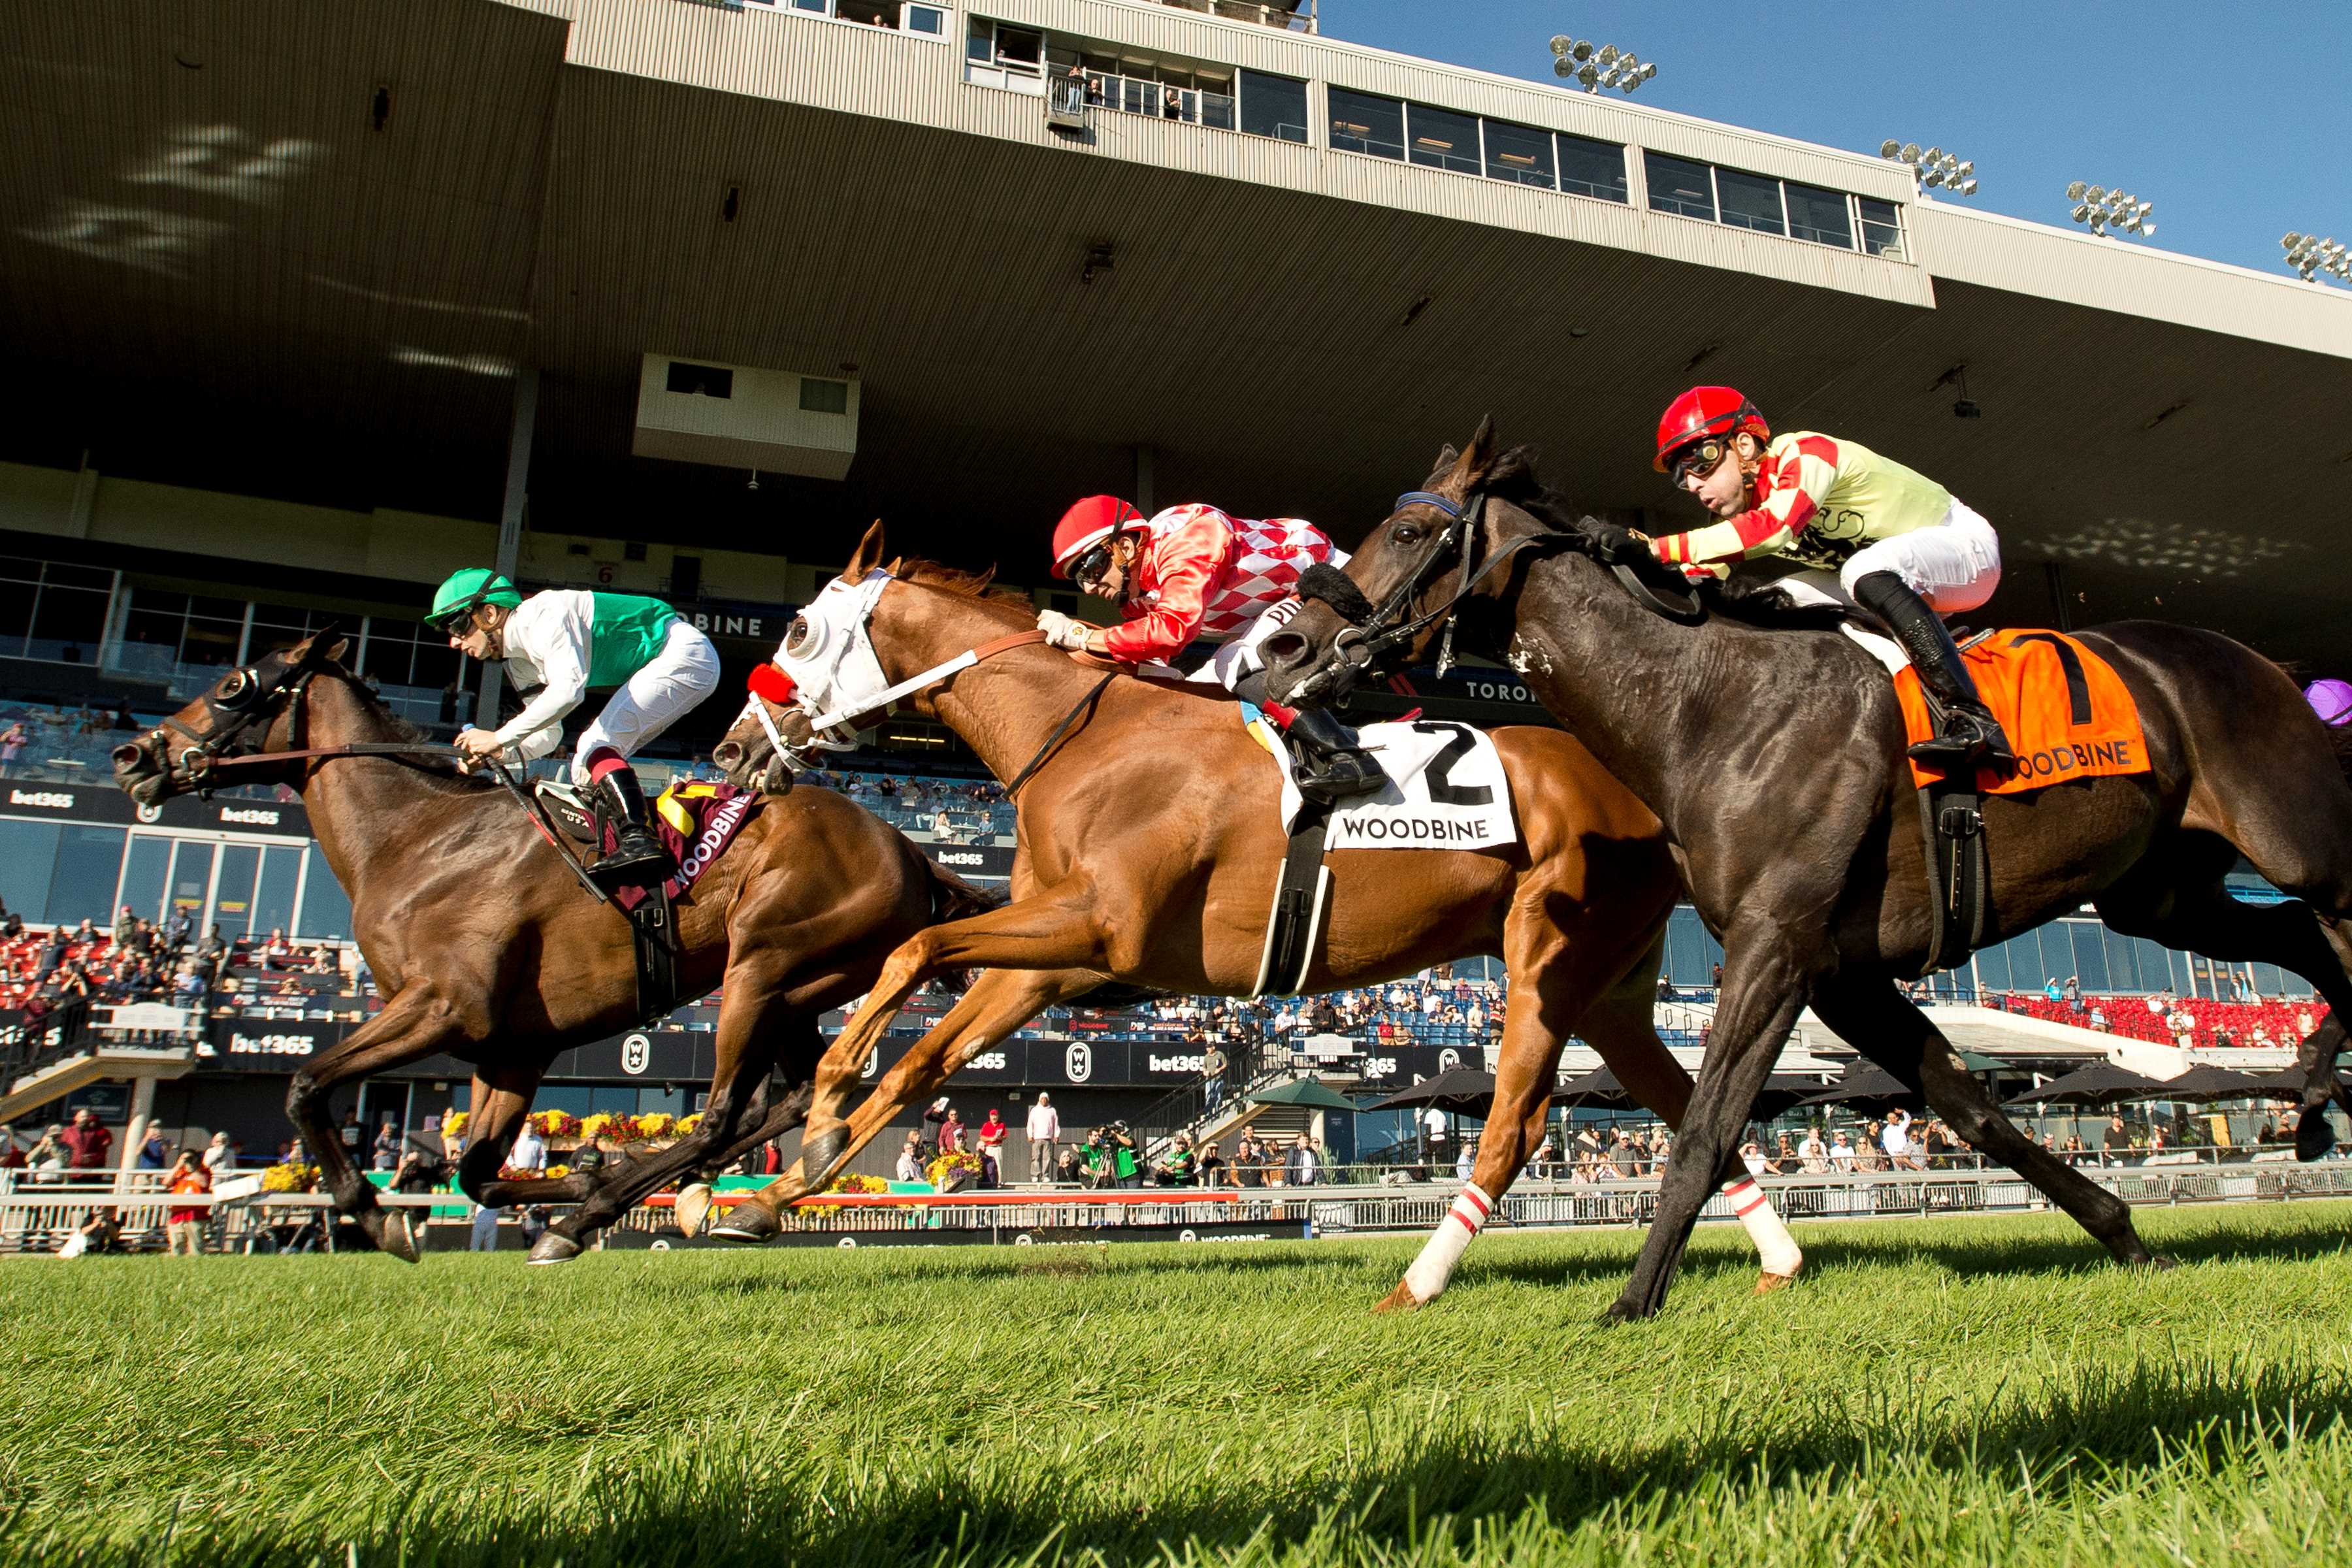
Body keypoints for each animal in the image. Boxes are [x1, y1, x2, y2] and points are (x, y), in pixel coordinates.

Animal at [112, 625, 992, 1260]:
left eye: (234, 686)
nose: (132, 754)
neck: (416, 838)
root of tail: (908, 847)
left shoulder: (444, 1007)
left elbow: (304, 1085)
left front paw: (379, 1215)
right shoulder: (511, 1050)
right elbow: (477, 1174)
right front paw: (584, 1177)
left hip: (762, 967)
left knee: (723, 1114)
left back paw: (620, 1206)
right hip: (798, 989)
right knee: (798, 1095)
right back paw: (663, 1196)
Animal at [706, 526, 1806, 1316]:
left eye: (798, 632)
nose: (728, 750)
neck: (1087, 740)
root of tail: (1644, 784)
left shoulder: (1097, 929)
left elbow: (913, 949)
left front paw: (819, 1099)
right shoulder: (1056, 963)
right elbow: (923, 1058)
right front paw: (775, 1190)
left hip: (1549, 958)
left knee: (1518, 1122)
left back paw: (1422, 1279)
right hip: (1613, 987)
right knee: (1688, 1102)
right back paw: (1781, 1259)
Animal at [1270, 423, 2352, 1316]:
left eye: (1411, 531)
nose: (1288, 647)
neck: (1709, 703)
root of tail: (2267, 664)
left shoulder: (1775, 944)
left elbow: (1707, 1128)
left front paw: (1633, 1302)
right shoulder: (1843, 972)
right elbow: (1972, 1108)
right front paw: (2124, 1236)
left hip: (2295, 841)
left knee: (2334, 922)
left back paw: (2315, 1093)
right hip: (2161, 893)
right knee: (2296, 935)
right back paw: (2307, 1102)